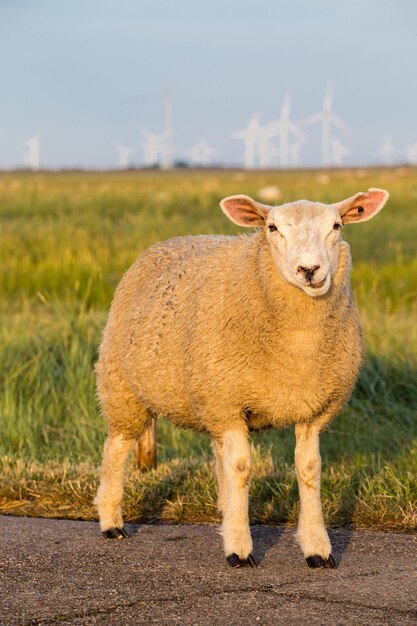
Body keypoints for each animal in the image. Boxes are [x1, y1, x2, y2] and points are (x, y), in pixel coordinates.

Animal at [93, 185, 386, 564]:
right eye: (272, 228)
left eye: (336, 226)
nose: (309, 269)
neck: (297, 350)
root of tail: (169, 241)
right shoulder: (228, 402)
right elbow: (242, 469)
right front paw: (239, 548)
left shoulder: (313, 410)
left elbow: (308, 470)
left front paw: (317, 547)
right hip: (124, 385)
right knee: (116, 449)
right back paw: (111, 521)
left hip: (207, 396)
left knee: (217, 451)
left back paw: (224, 508)